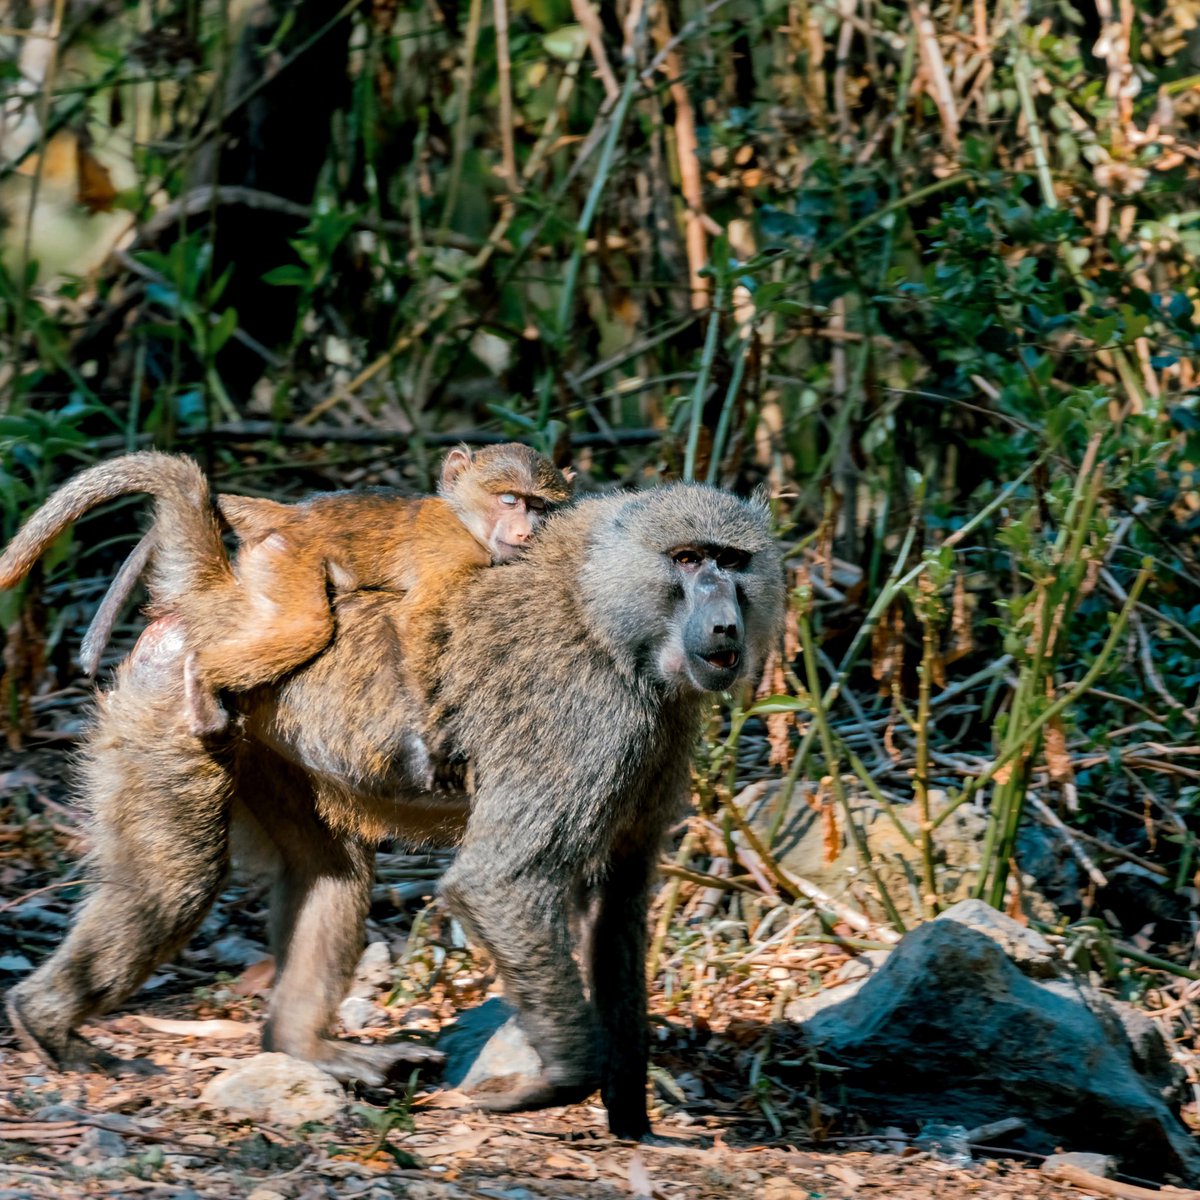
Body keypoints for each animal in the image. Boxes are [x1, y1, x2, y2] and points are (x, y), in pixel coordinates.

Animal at [1, 444, 572, 736]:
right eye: (509, 500)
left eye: (538, 506)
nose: (526, 533)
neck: (465, 520)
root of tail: (291, 513)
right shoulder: (450, 554)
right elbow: (416, 623)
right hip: (287, 557)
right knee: (307, 627)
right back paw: (202, 679)